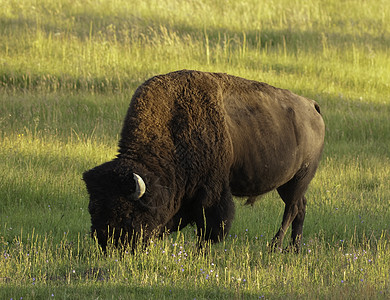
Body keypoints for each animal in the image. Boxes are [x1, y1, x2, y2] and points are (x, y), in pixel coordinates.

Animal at [83, 69, 326, 252]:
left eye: (126, 212)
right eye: (92, 209)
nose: (107, 244)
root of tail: (312, 106)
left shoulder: (212, 191)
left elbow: (210, 225)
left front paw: (201, 250)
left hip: (298, 179)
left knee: (292, 208)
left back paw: (275, 246)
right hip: (290, 183)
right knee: (300, 207)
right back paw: (294, 249)